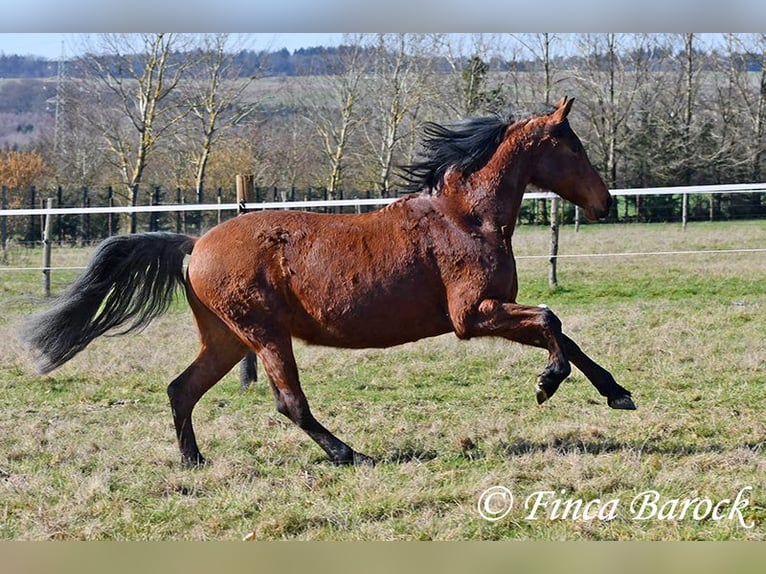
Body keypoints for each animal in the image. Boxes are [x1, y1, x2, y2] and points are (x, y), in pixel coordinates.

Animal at [23, 97, 635, 467]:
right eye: (574, 147)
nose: (605, 203)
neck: (467, 217)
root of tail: (195, 246)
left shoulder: (496, 308)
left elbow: (566, 334)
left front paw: (617, 392)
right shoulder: (473, 314)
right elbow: (552, 321)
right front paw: (547, 382)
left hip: (227, 339)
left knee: (182, 389)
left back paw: (194, 463)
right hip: (265, 335)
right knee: (288, 402)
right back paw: (350, 454)